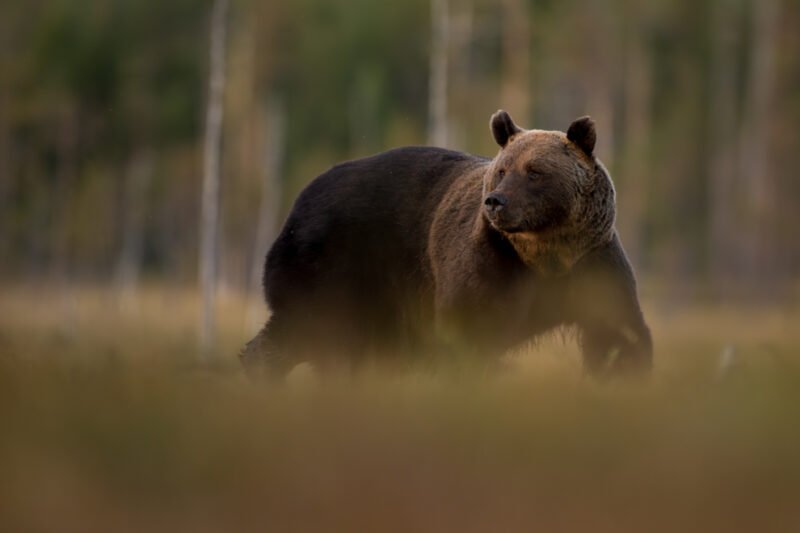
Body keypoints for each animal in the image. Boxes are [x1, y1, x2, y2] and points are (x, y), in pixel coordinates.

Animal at [242, 110, 648, 378]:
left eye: (534, 172)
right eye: (502, 169)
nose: (496, 201)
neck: (544, 254)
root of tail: (301, 197)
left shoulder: (592, 263)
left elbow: (618, 332)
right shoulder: (490, 263)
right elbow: (467, 327)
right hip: (337, 264)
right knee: (317, 327)